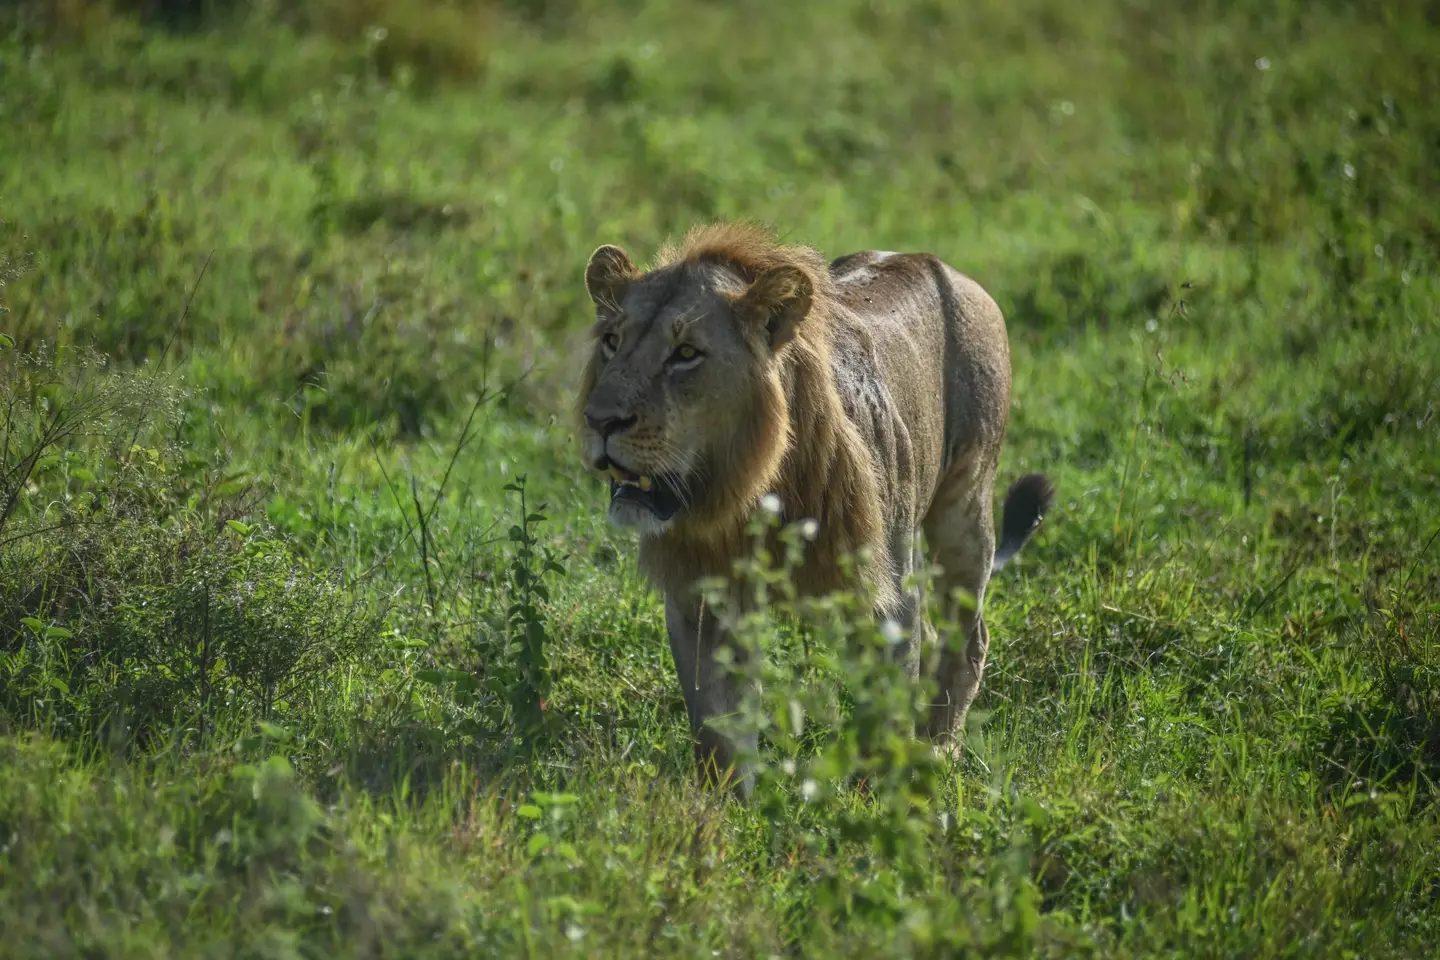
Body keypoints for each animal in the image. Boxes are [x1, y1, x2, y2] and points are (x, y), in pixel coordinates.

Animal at [577, 222, 1053, 796]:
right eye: (611, 342)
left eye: (686, 353)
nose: (600, 420)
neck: (750, 488)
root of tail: (944, 266)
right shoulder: (703, 598)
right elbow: (719, 728)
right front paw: (724, 810)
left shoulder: (885, 598)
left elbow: (882, 712)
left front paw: (874, 802)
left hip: (965, 504)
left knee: (966, 638)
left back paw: (940, 750)